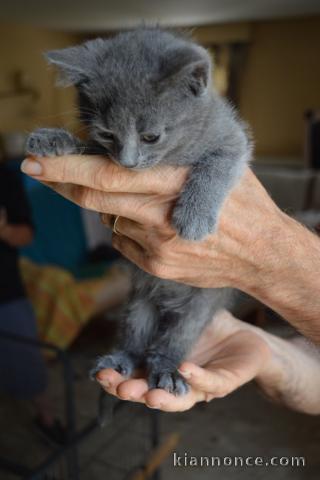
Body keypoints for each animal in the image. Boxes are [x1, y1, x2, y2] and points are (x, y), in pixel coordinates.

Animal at [26, 26, 251, 396]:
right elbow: (87, 149)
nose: (127, 162)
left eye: (151, 136)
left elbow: (218, 164)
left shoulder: (233, 139)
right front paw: (53, 139)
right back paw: (121, 359)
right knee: (136, 334)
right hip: (137, 301)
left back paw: (167, 369)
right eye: (106, 133)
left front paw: (195, 216)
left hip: (200, 305)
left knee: (174, 338)